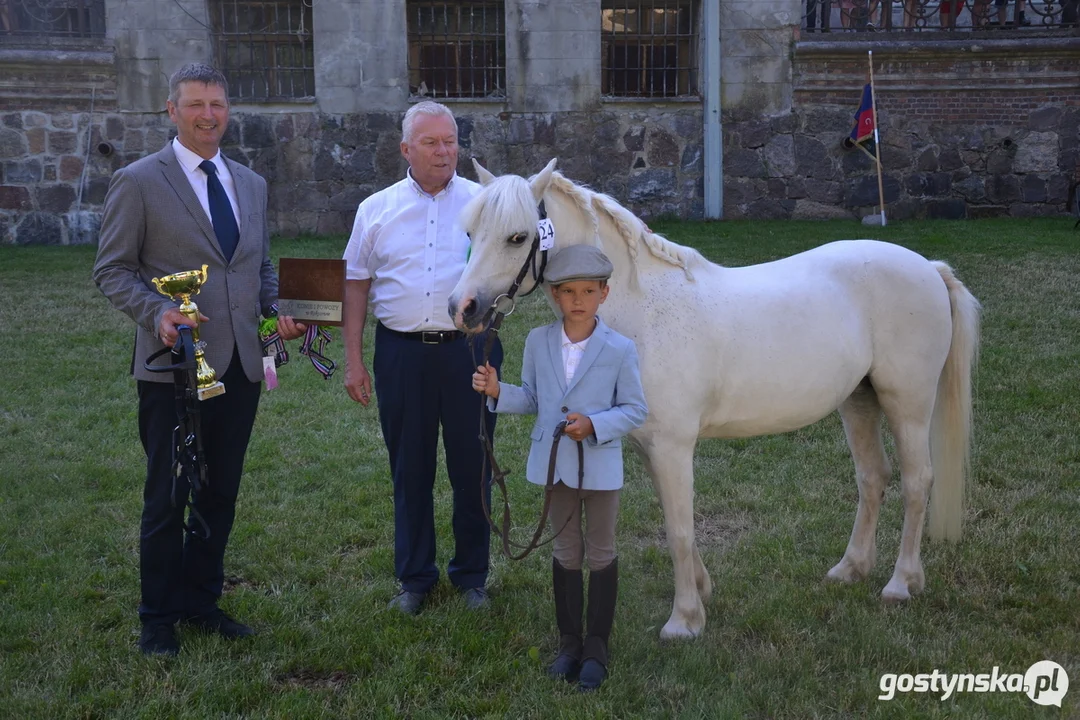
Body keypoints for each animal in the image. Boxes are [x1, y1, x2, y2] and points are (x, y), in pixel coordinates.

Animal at [447, 160, 980, 639]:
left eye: (518, 237)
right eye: (470, 230)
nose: (462, 308)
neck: (644, 312)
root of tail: (928, 268)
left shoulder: (673, 446)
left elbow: (681, 529)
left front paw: (684, 621)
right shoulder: (648, 447)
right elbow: (673, 521)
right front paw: (701, 591)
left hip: (907, 402)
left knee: (917, 481)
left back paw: (900, 584)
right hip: (859, 401)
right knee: (873, 478)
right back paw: (850, 570)